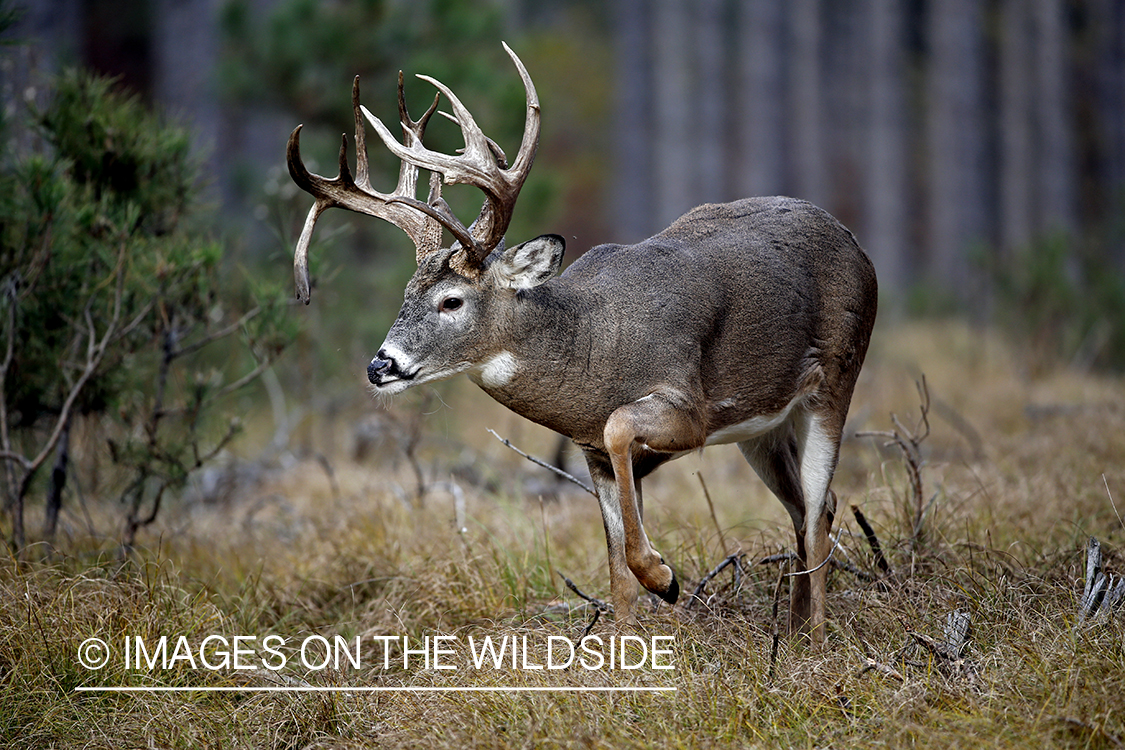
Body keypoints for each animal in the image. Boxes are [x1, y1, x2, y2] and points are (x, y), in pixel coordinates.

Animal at [283, 42, 877, 647]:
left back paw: (815, 643)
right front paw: (625, 646)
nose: (380, 365)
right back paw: (795, 628)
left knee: (819, 508)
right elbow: (615, 567)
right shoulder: (592, 452)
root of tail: (856, 244)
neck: (593, 348)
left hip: (836, 377)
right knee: (808, 506)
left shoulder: (689, 408)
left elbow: (621, 434)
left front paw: (665, 578)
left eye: (452, 301)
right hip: (762, 427)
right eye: (406, 294)